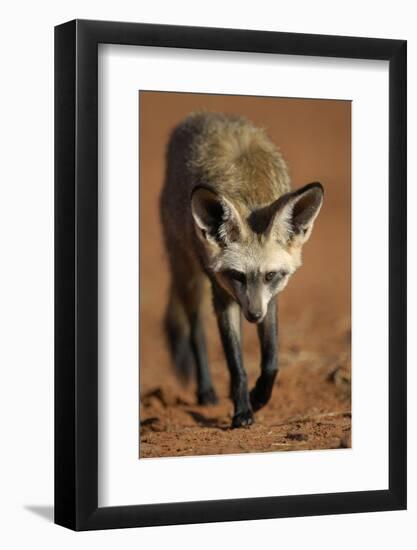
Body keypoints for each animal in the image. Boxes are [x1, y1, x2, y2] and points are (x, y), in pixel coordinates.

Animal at [158, 113, 322, 432]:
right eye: (237, 276)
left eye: (271, 276)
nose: (253, 315)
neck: (250, 192)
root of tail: (201, 116)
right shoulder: (222, 294)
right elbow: (236, 365)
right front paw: (243, 410)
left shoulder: (271, 298)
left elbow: (271, 361)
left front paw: (259, 397)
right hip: (188, 274)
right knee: (195, 330)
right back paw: (206, 391)